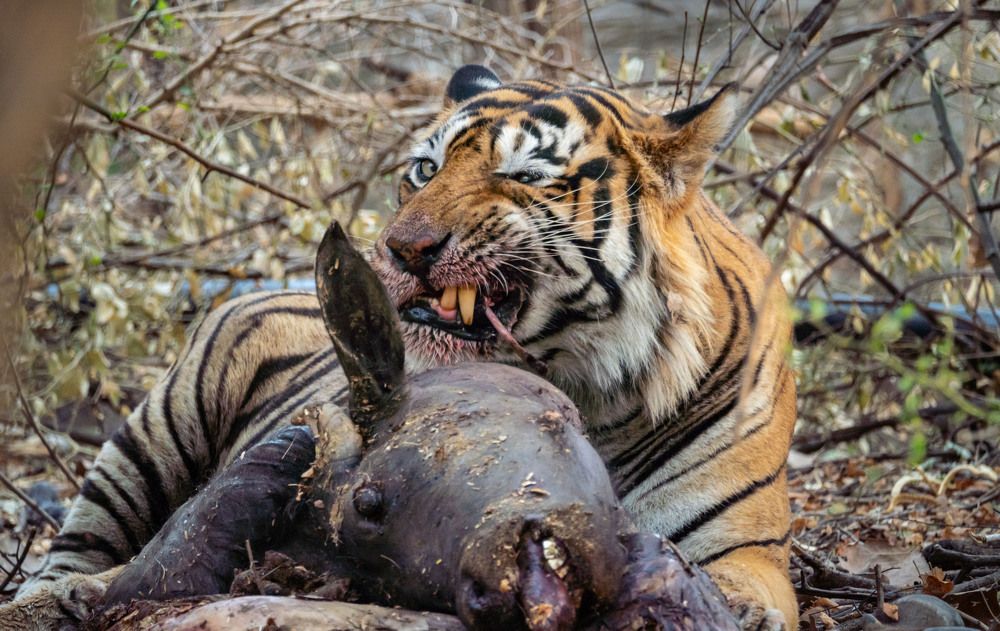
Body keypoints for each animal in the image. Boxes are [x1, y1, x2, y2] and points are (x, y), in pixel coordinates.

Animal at [9, 65, 797, 630]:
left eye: (524, 175)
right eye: (425, 168)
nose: (402, 247)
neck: (593, 392)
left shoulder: (746, 552)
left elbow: (736, 588)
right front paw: (91, 596)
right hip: (155, 431)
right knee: (77, 545)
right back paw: (48, 597)